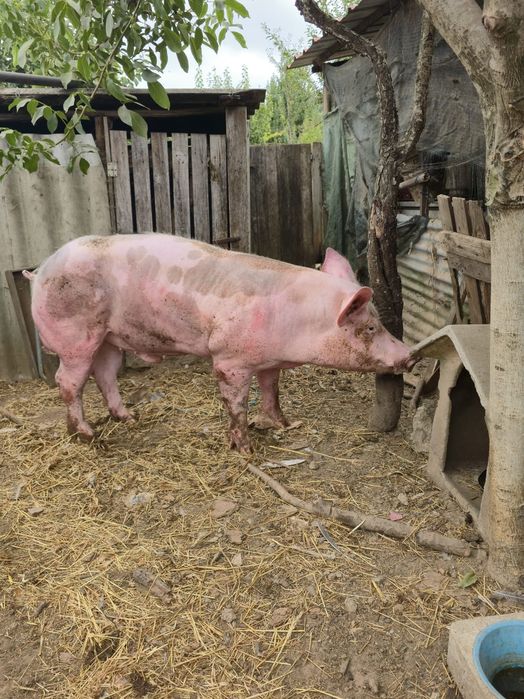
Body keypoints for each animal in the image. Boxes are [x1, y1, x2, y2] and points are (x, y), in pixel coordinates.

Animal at [24, 234, 416, 452]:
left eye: (379, 323)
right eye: (370, 327)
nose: (410, 355)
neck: (298, 320)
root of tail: (40, 271)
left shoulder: (269, 360)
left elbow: (272, 390)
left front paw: (284, 425)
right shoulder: (230, 359)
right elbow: (236, 404)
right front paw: (245, 449)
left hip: (108, 337)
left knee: (105, 373)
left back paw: (130, 418)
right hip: (74, 334)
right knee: (68, 381)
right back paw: (89, 436)